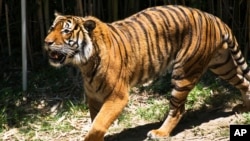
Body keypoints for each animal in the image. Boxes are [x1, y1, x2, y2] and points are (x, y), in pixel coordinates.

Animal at [43, 4, 250, 140]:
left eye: (66, 31)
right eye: (51, 28)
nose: (46, 42)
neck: (85, 63)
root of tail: (214, 18)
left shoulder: (118, 96)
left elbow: (99, 123)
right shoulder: (93, 97)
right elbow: (96, 122)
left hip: (185, 71)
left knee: (178, 108)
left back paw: (160, 133)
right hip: (222, 63)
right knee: (244, 81)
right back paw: (245, 107)